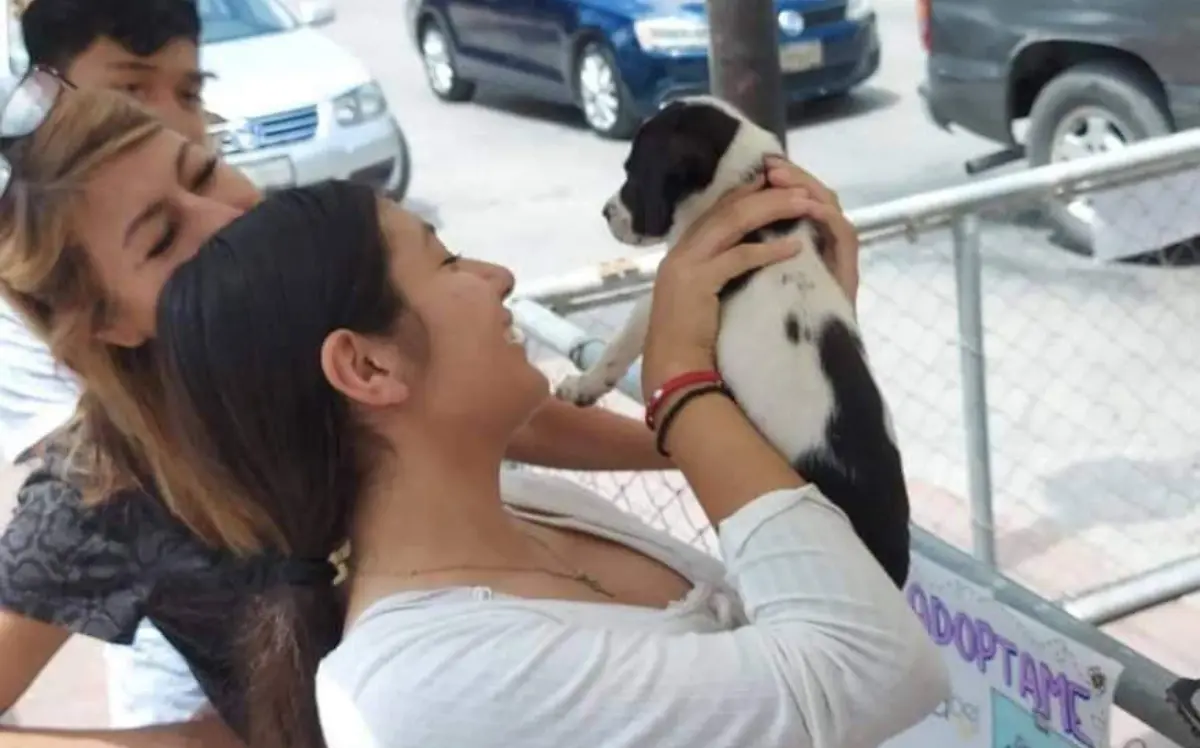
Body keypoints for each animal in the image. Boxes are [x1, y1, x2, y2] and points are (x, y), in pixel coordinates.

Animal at [554, 95, 910, 587]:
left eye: (633, 170)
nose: (606, 212)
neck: (741, 185)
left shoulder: (664, 290)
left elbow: (620, 342)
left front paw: (583, 385)